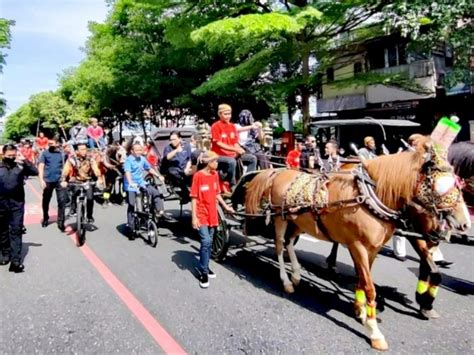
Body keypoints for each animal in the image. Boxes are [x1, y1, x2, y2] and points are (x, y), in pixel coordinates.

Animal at [244, 139, 470, 350]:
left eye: (459, 184)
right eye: (441, 185)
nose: (465, 223)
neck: (369, 196)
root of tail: (278, 171)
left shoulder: (372, 248)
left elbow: (362, 279)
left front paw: (361, 311)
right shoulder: (358, 246)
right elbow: (370, 287)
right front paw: (374, 332)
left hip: (298, 220)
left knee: (290, 242)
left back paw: (297, 275)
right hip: (280, 218)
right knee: (279, 245)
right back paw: (286, 281)